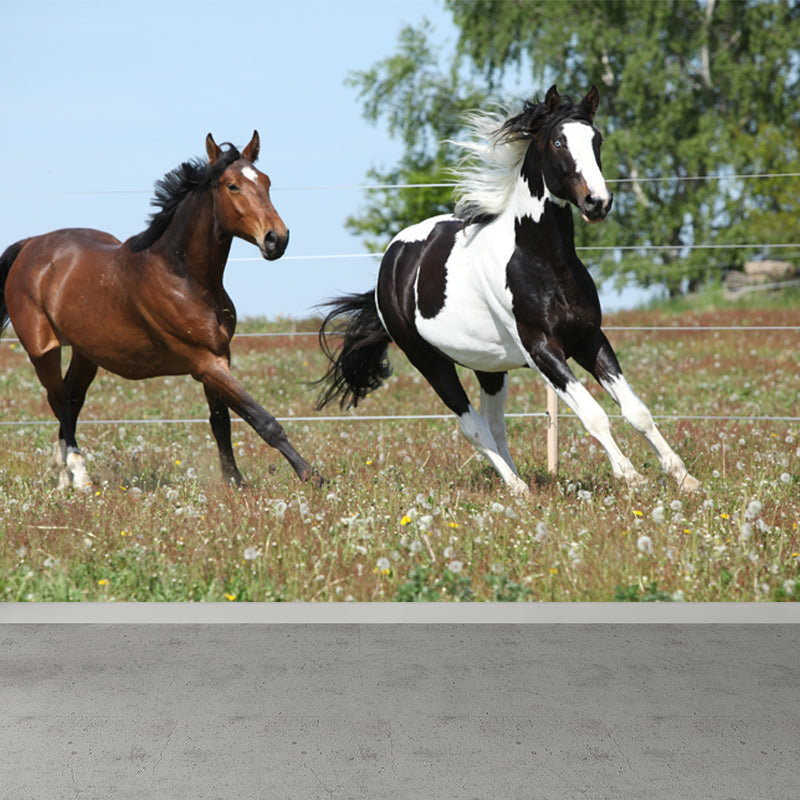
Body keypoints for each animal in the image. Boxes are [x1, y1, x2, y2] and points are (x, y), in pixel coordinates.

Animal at [0, 131, 322, 490]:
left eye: (266, 181)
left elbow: (220, 421)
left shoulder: (219, 355)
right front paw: (312, 475)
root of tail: (30, 245)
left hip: (86, 353)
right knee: (57, 399)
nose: (277, 239)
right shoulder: (204, 361)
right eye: (232, 186)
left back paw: (63, 476)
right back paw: (80, 475)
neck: (184, 276)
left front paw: (234, 482)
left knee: (71, 399)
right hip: (42, 349)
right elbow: (263, 420)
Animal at [316, 85, 700, 495]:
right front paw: (631, 477)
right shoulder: (542, 350)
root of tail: (393, 260)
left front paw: (683, 477)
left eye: (597, 140)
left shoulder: (590, 339)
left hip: (490, 367)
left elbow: (636, 410)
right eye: (559, 141)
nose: (598, 202)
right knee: (473, 426)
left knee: (494, 426)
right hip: (429, 361)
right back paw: (517, 488)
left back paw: (520, 486)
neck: (544, 263)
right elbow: (594, 415)